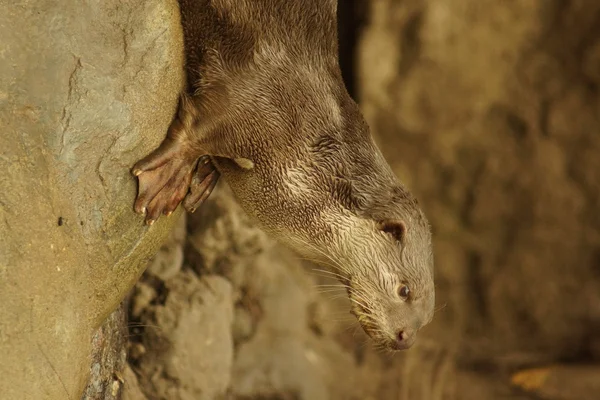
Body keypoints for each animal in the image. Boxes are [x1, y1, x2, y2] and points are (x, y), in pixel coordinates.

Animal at [131, 0, 434, 350]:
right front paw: (168, 178)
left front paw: (206, 175)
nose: (405, 338)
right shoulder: (253, 97)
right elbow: (197, 129)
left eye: (427, 317)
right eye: (404, 290)